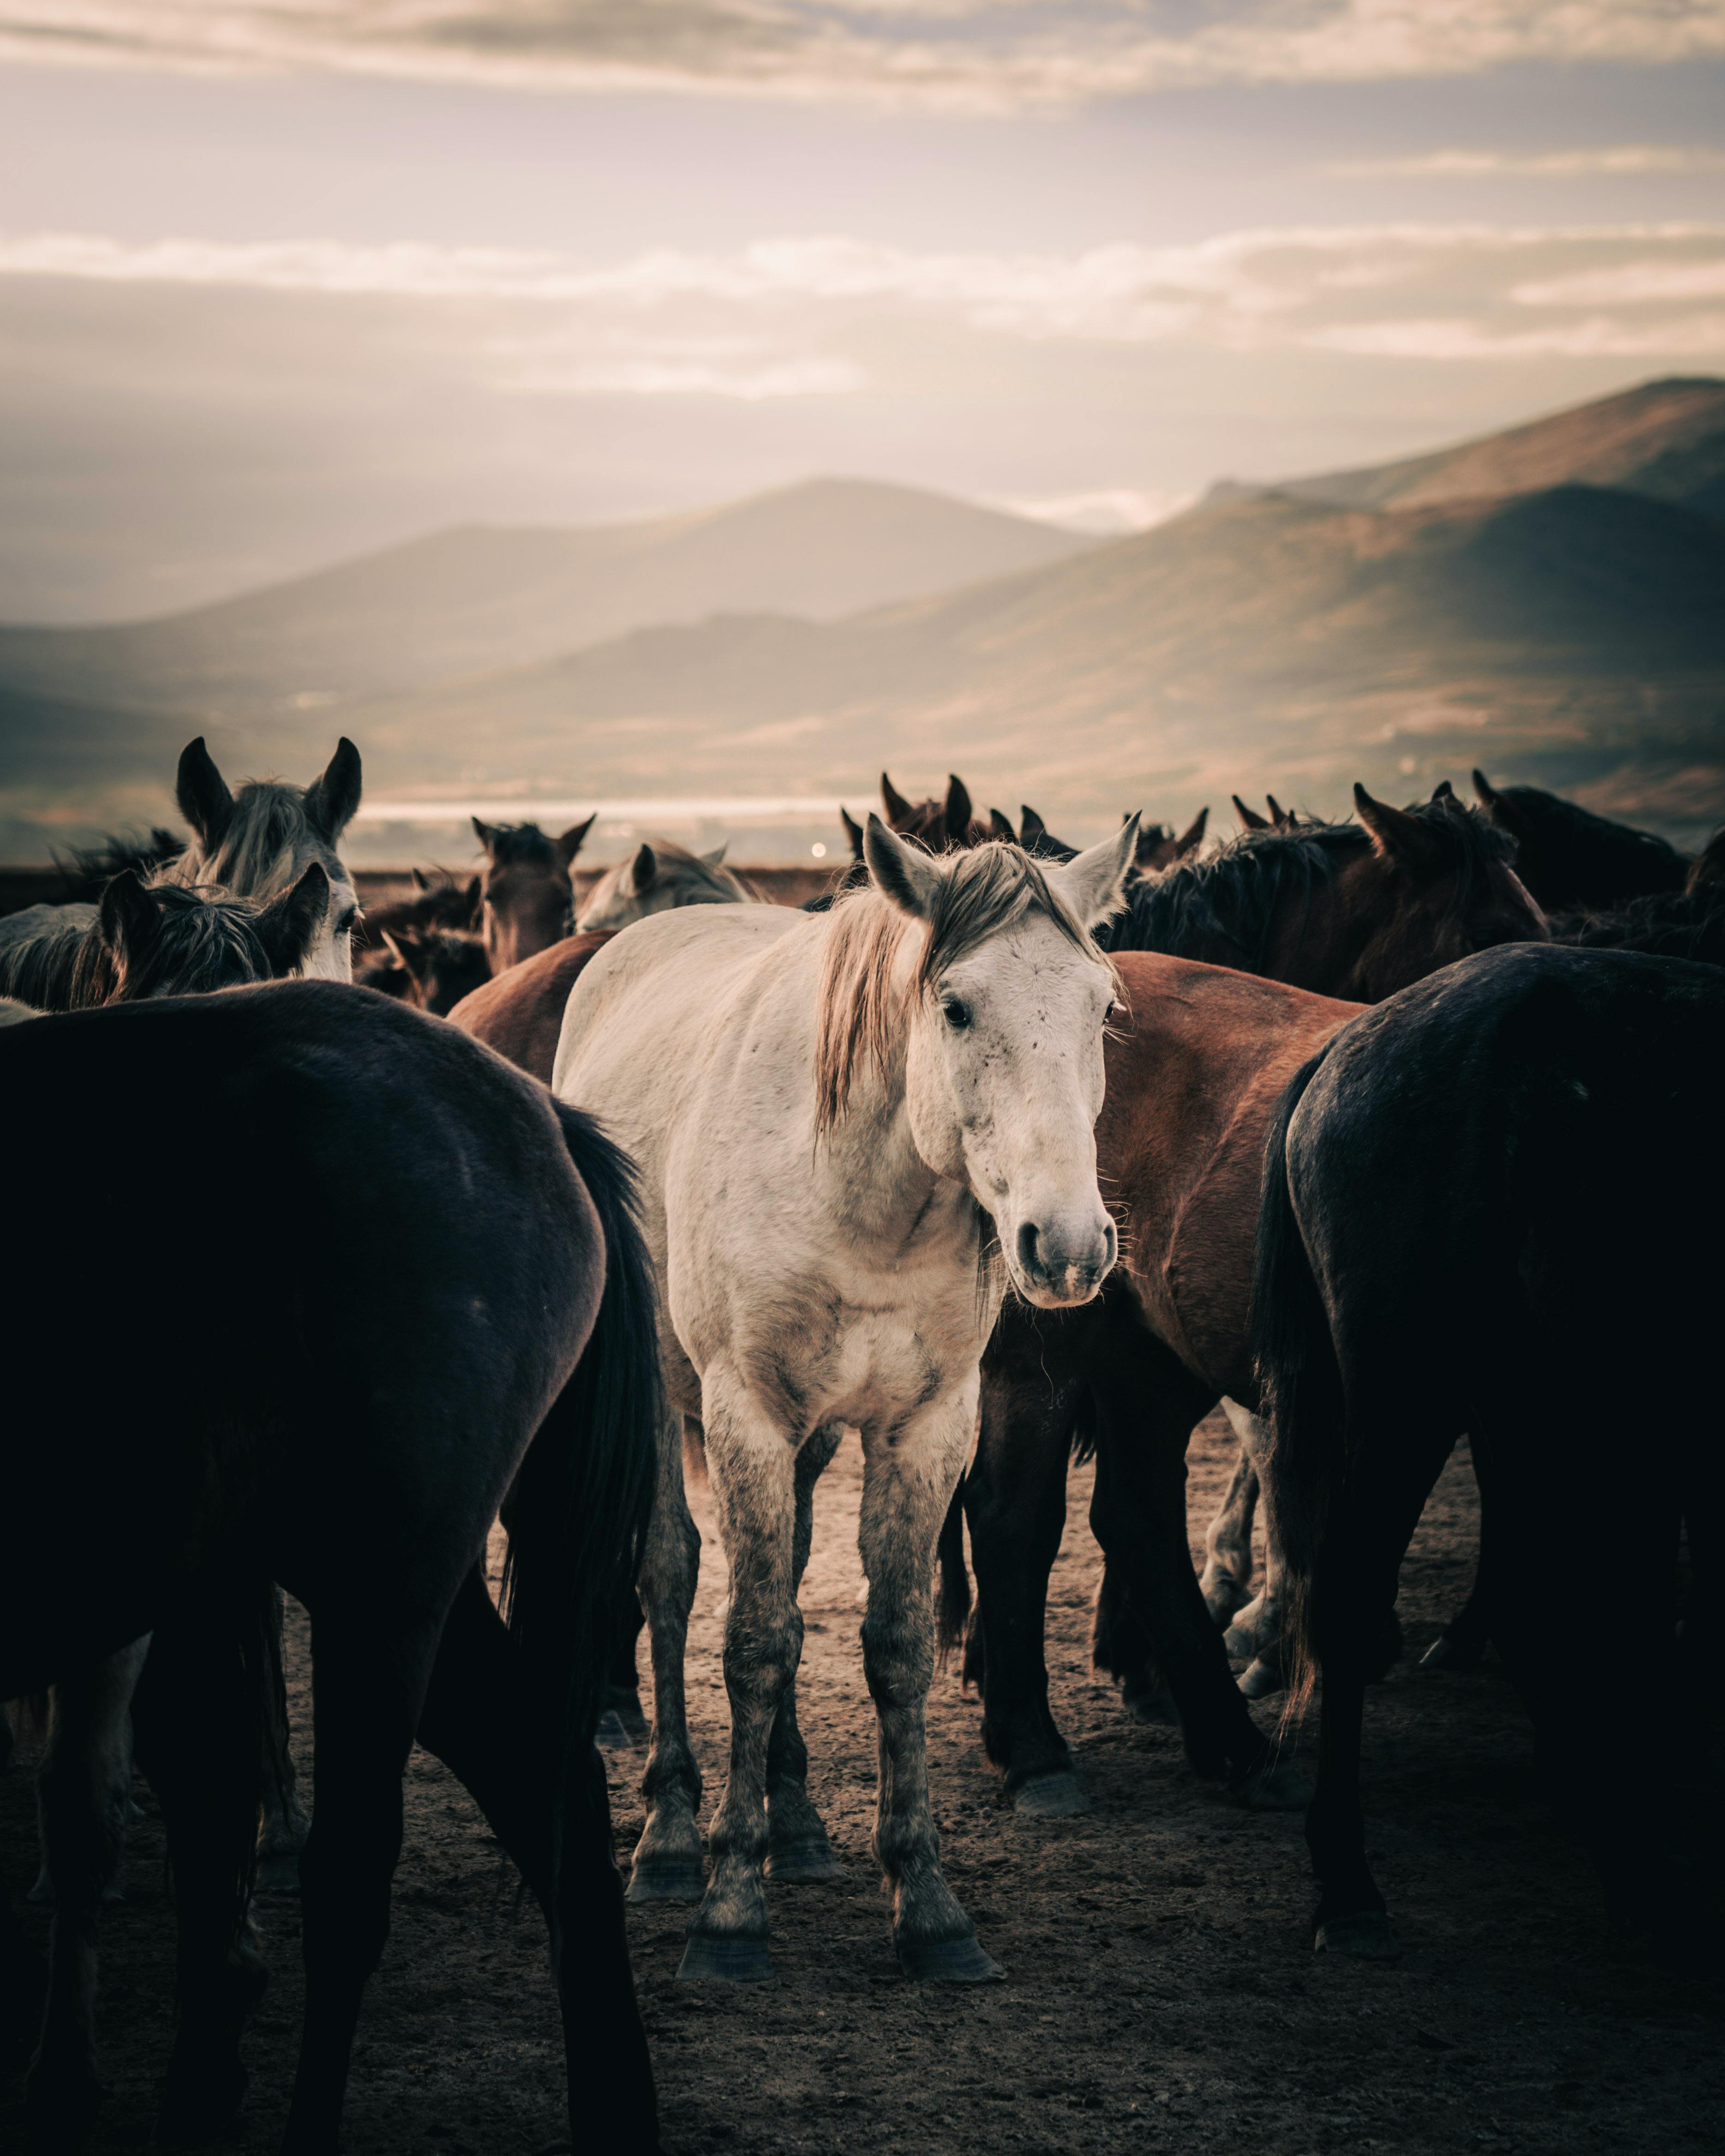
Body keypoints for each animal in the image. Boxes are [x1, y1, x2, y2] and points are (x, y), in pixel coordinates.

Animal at [942, 788, 1550, 1815]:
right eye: (1486, 931)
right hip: (1048, 1348)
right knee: (1013, 1513)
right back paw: (1039, 1748)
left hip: (1144, 1355)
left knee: (1135, 1514)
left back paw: (1225, 1735)